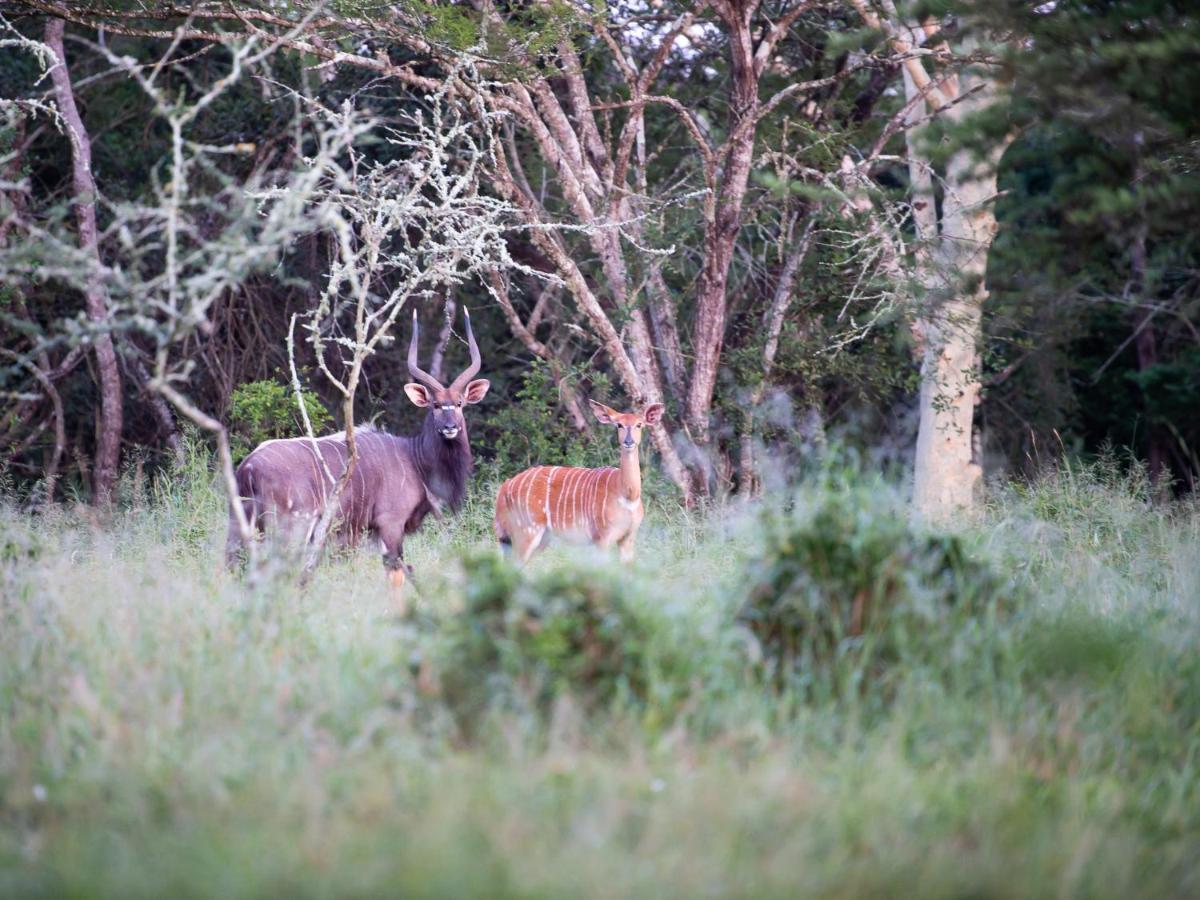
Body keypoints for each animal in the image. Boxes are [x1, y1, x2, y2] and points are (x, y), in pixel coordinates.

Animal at [225, 309, 487, 592]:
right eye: (435, 405)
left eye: (459, 403)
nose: (450, 428)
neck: (415, 459)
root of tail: (249, 467)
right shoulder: (390, 523)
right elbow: (396, 574)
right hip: (292, 527)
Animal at [494, 400, 667, 564]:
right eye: (619, 424)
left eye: (639, 424)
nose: (629, 441)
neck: (627, 494)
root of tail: (504, 487)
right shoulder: (602, 538)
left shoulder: (628, 538)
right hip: (526, 531)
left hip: (540, 538)